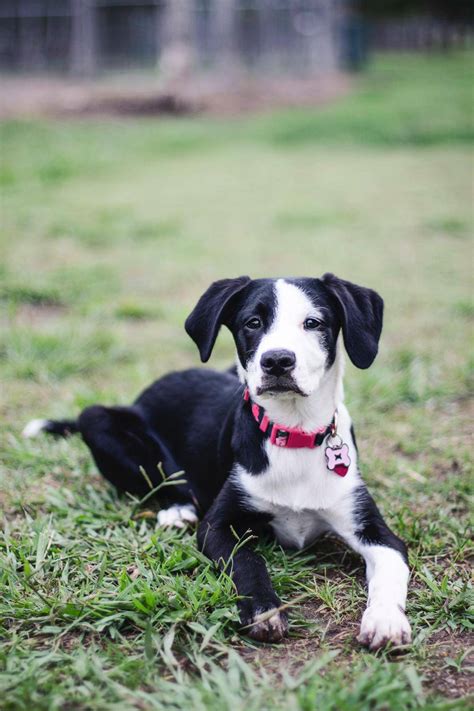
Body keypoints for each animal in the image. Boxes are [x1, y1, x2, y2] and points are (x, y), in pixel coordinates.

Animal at [24, 274, 412, 652]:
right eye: (253, 322)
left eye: (313, 322)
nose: (277, 361)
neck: (293, 432)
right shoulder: (216, 526)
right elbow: (249, 560)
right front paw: (263, 609)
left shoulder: (375, 530)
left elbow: (391, 570)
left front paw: (385, 620)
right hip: (97, 421)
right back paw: (177, 509)